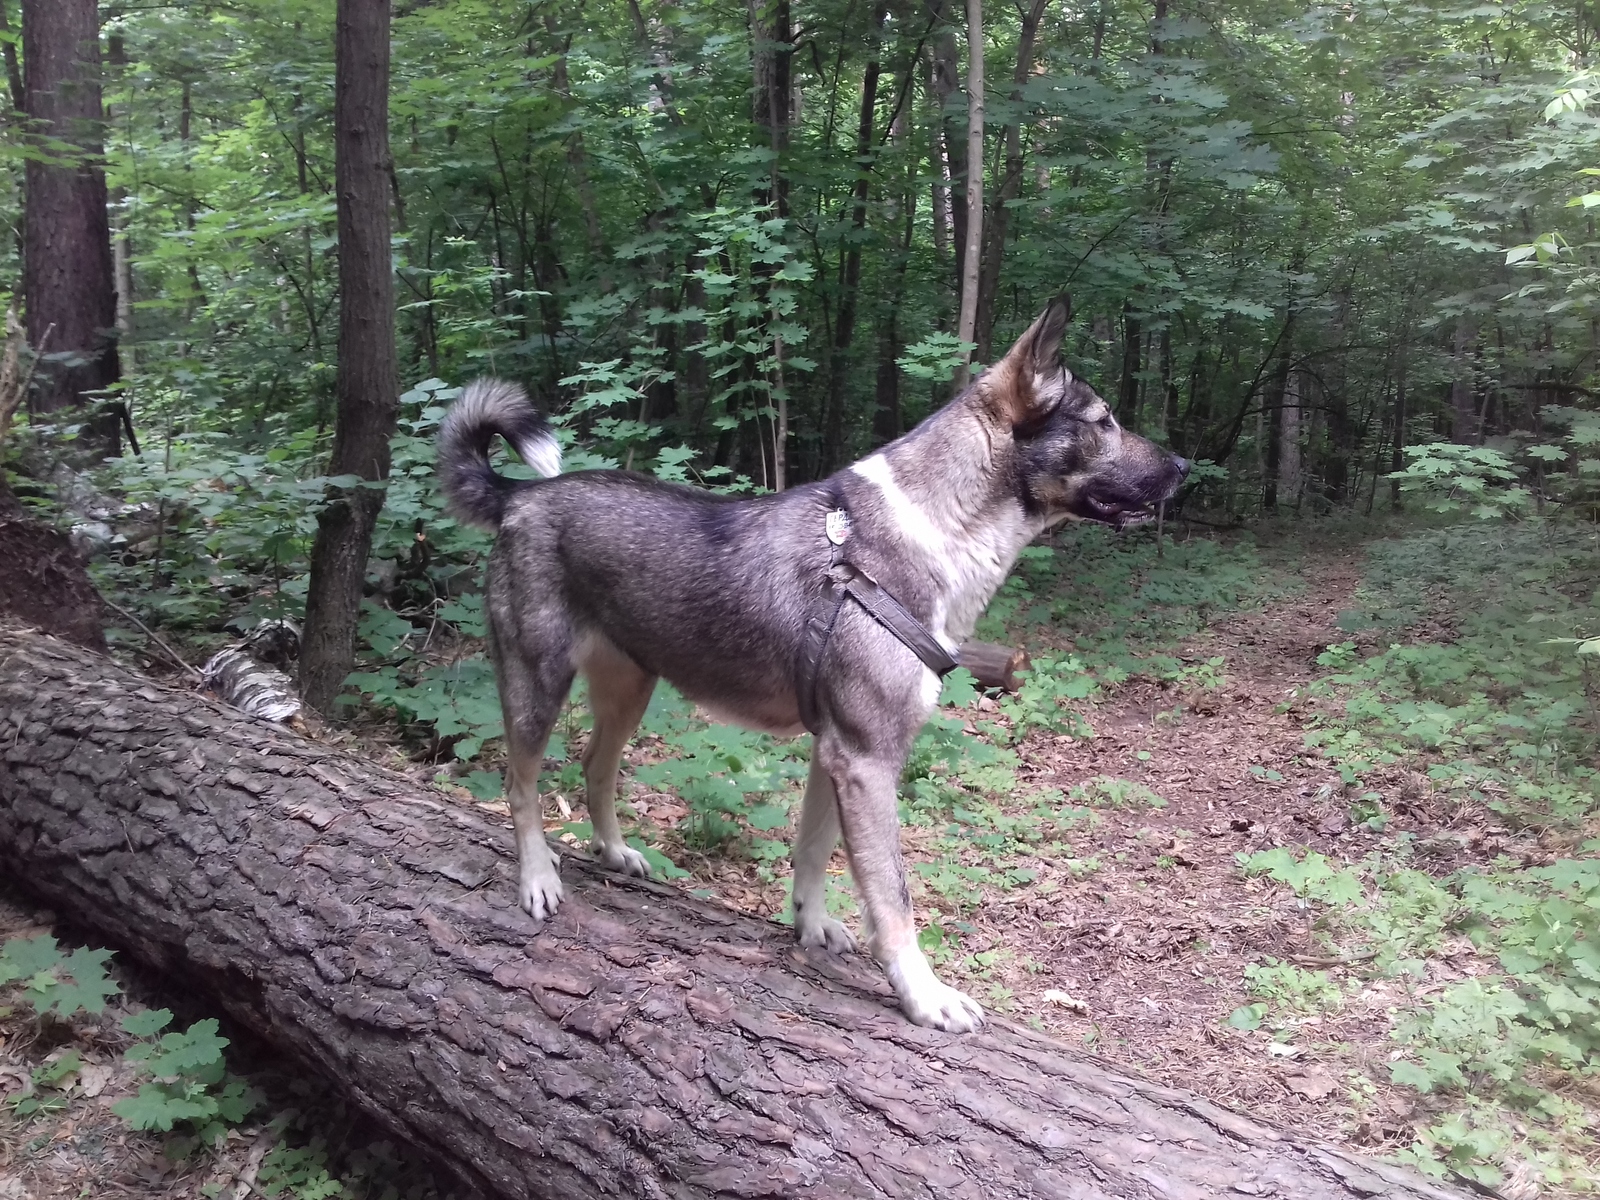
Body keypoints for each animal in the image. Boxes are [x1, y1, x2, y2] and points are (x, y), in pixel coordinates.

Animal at [438, 299, 1190, 1036]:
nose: (1185, 466)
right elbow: (892, 897)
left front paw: (812, 925)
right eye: (1103, 421)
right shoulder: (867, 760)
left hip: (631, 689)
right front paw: (924, 995)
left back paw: (614, 852)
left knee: (596, 767)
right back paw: (538, 876)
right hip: (537, 684)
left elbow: (813, 854)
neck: (930, 531)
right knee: (520, 785)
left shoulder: (835, 756)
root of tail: (518, 497)